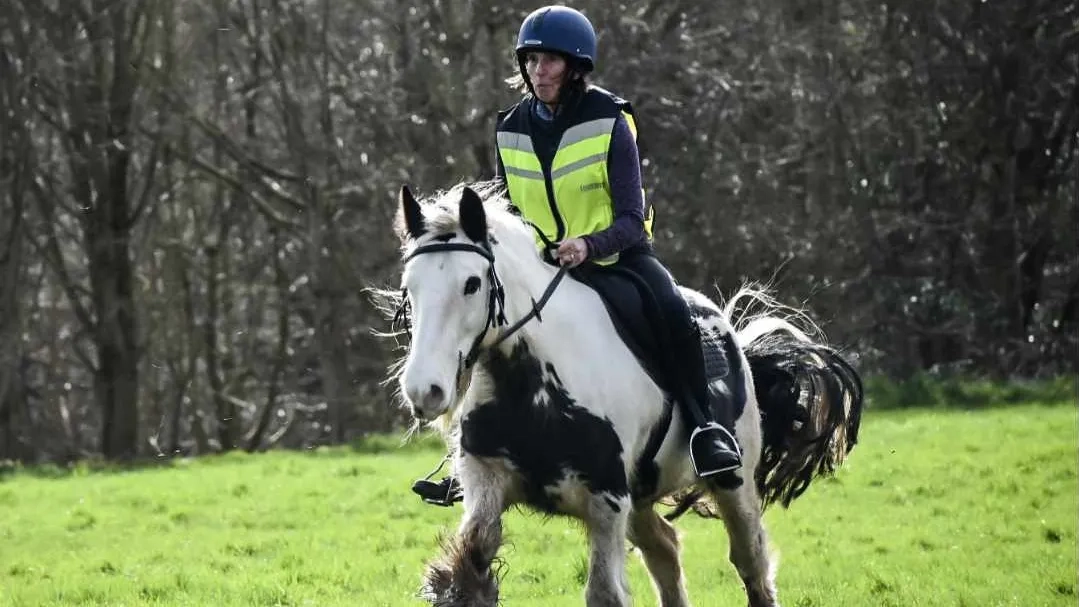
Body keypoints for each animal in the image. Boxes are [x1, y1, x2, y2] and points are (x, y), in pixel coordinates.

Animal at [378, 180, 864, 607]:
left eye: (472, 284)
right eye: (409, 287)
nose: (425, 391)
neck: (532, 386)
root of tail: (733, 338)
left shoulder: (606, 501)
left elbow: (604, 594)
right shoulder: (487, 482)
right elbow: (468, 573)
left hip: (733, 483)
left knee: (751, 564)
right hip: (643, 498)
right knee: (665, 550)